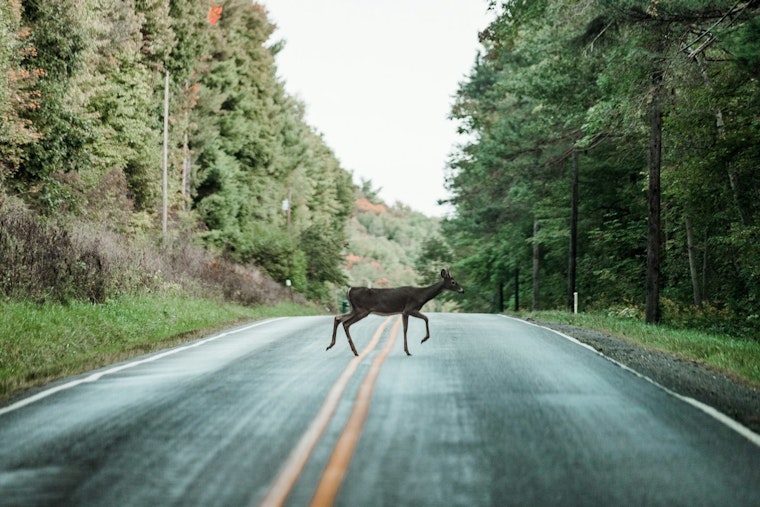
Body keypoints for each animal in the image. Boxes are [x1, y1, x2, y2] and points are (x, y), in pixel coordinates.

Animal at [327, 269, 464, 356]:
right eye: (453, 282)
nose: (462, 290)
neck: (422, 296)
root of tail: (349, 289)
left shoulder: (404, 312)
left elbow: (405, 329)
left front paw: (407, 350)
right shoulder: (410, 308)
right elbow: (425, 319)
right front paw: (422, 340)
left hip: (354, 309)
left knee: (338, 318)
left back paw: (331, 345)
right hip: (362, 310)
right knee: (346, 323)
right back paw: (355, 351)